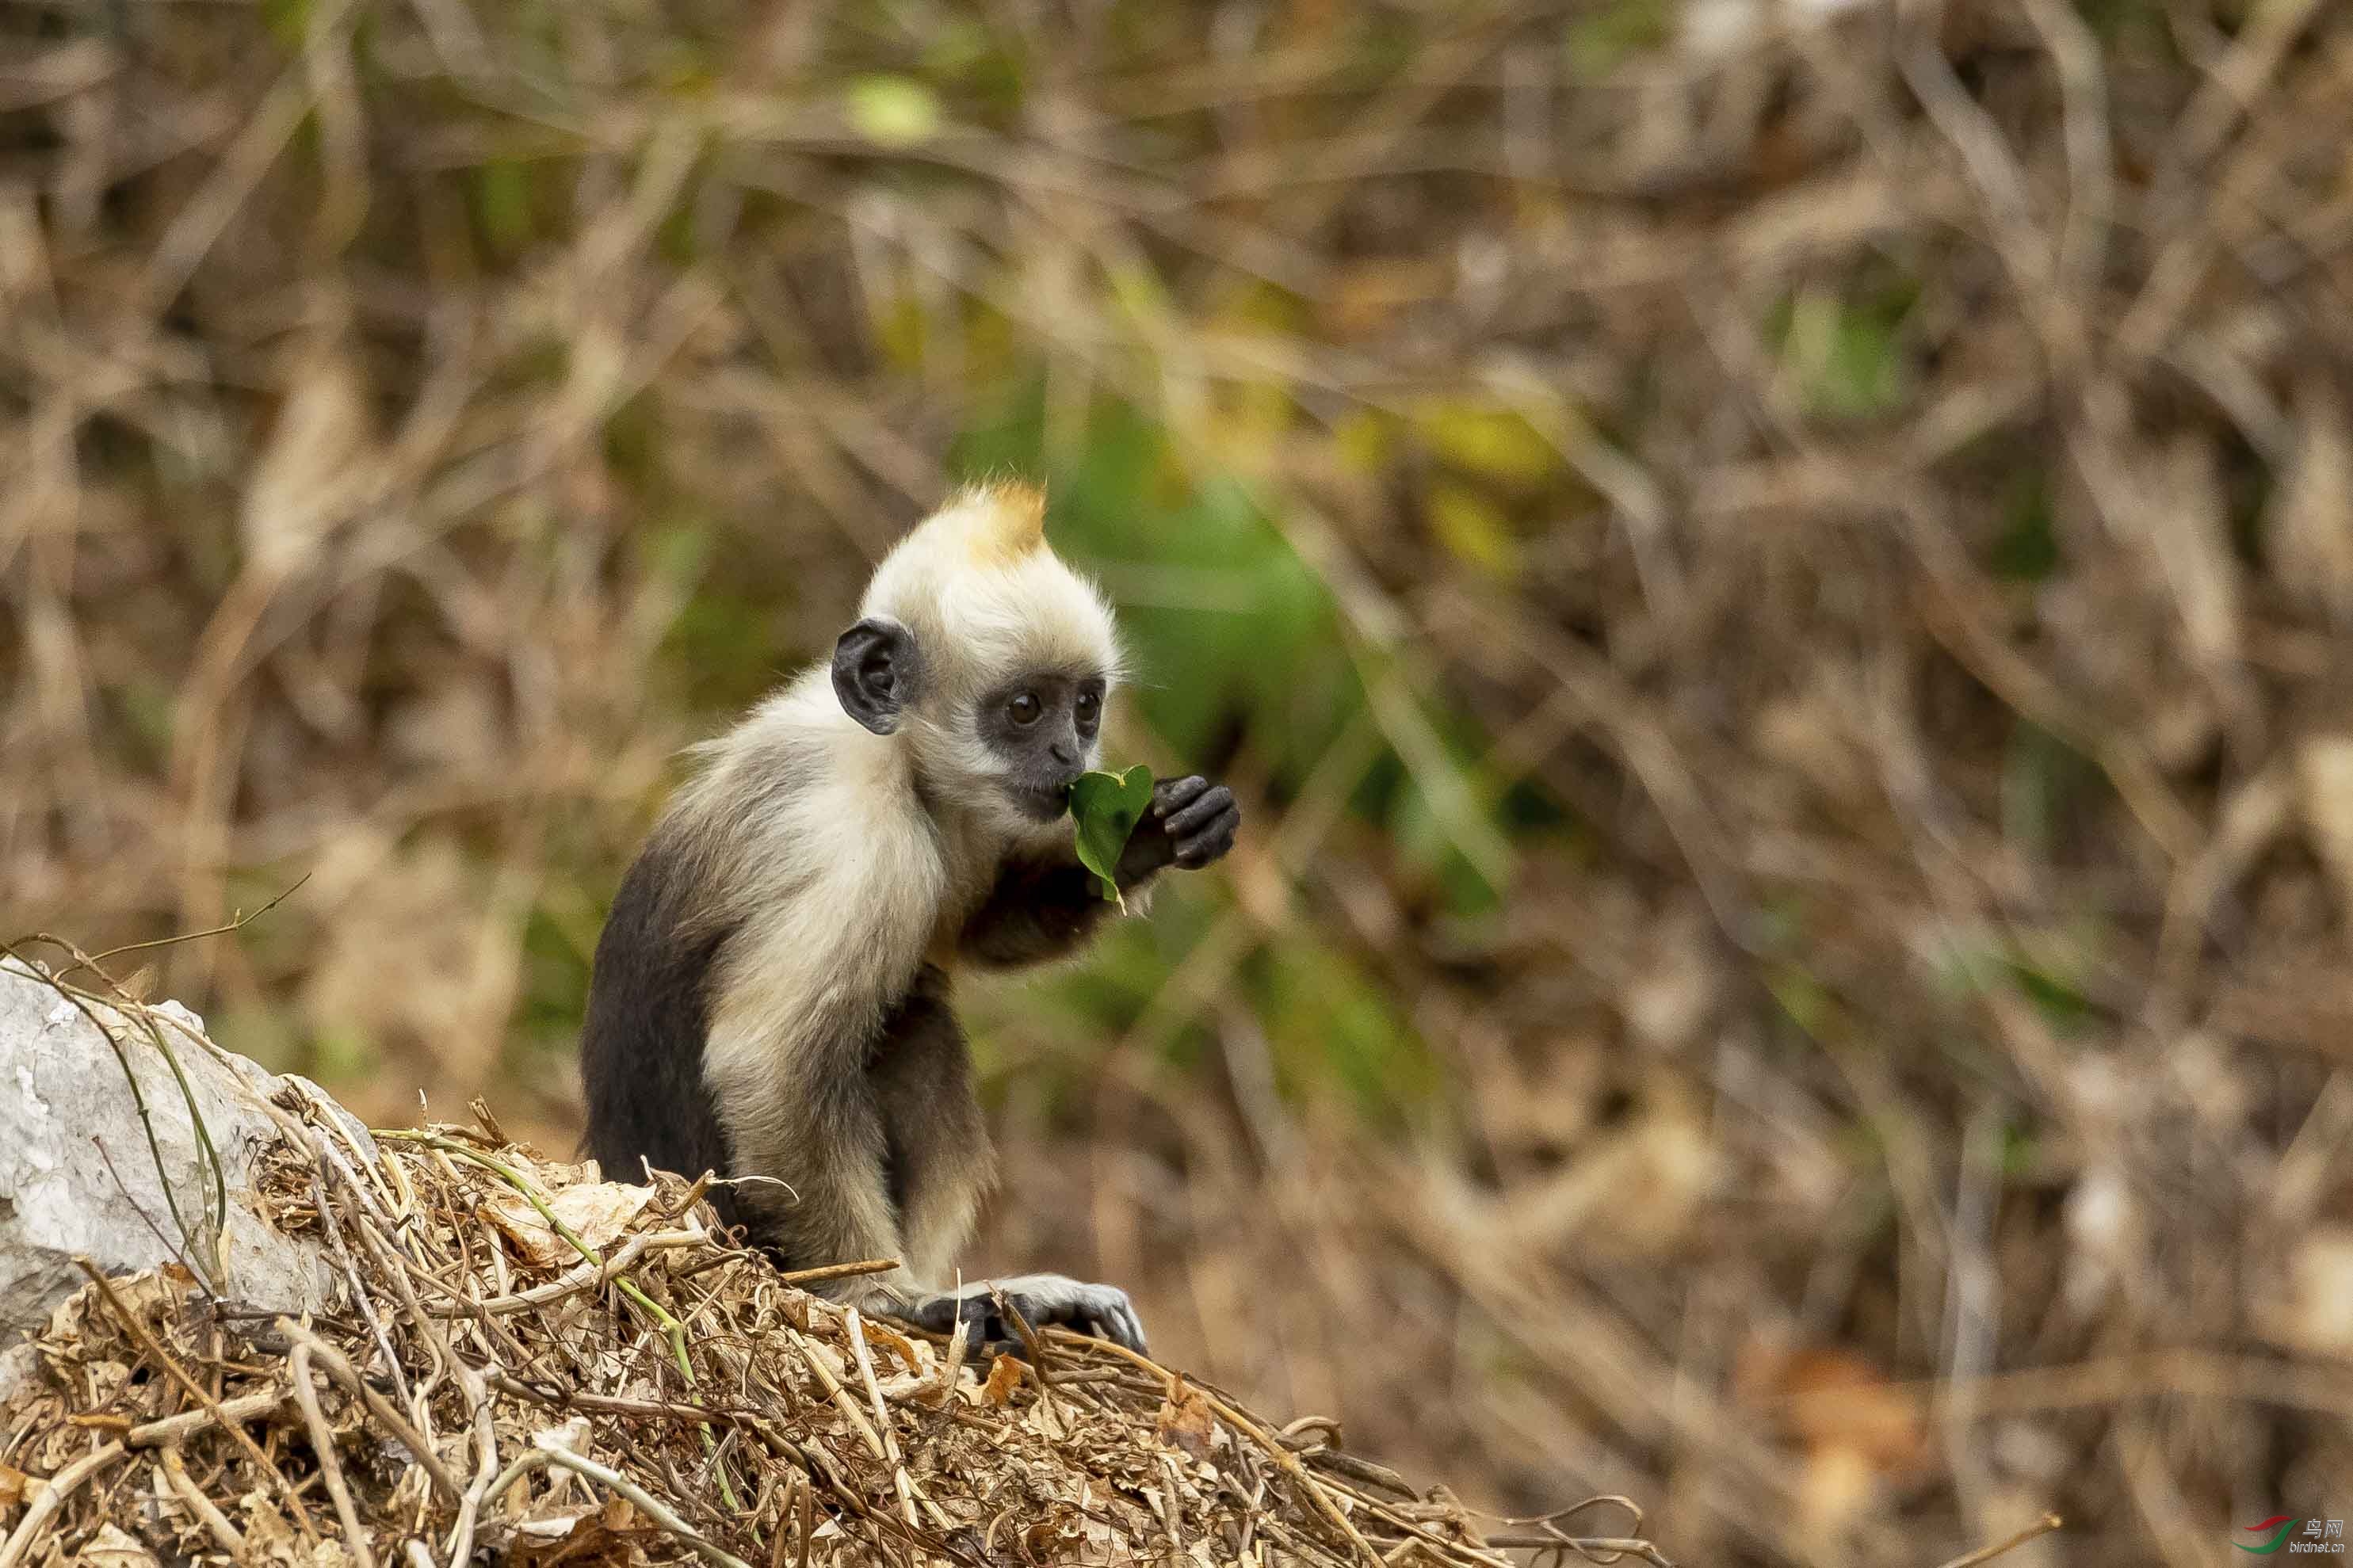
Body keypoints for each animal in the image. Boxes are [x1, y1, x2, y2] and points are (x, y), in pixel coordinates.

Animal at [581, 484, 1242, 1354]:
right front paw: (884, 1301)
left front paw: (1147, 832)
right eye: (1023, 709)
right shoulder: (855, 842)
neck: (897, 758)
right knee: (905, 1022)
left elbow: (977, 934)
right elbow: (766, 1067)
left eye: (1085, 707)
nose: (1070, 758)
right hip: (713, 1200)